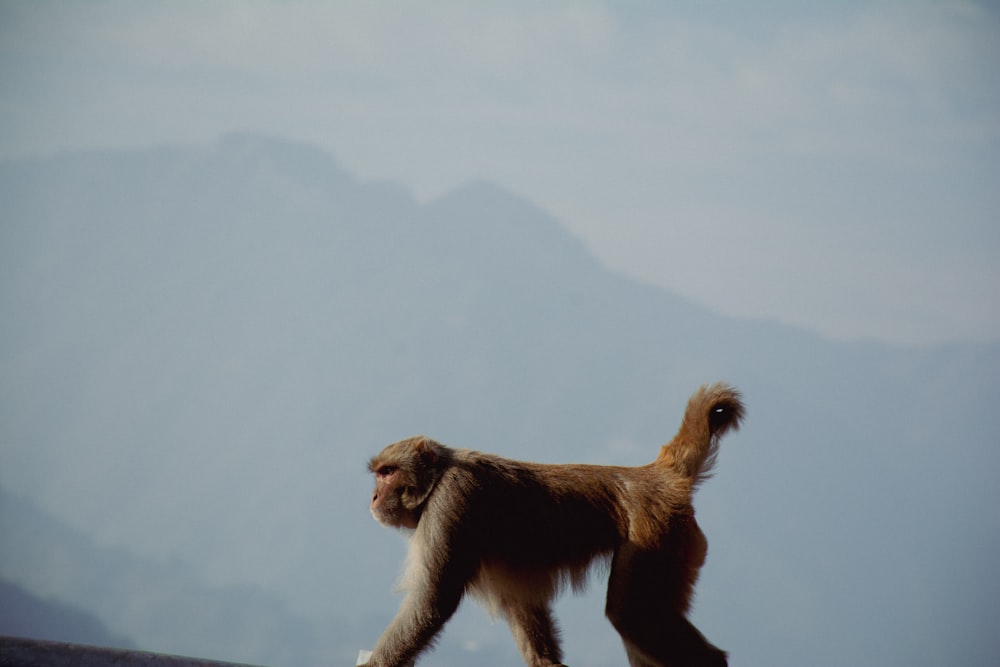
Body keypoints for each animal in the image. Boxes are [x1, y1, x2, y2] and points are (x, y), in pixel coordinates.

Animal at [366, 384, 744, 664]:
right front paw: (546, 660)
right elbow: (519, 602)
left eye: (389, 472)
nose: (373, 496)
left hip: (658, 533)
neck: (439, 476)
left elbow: (433, 602)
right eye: (379, 473)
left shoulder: (451, 501)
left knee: (632, 614)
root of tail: (657, 474)